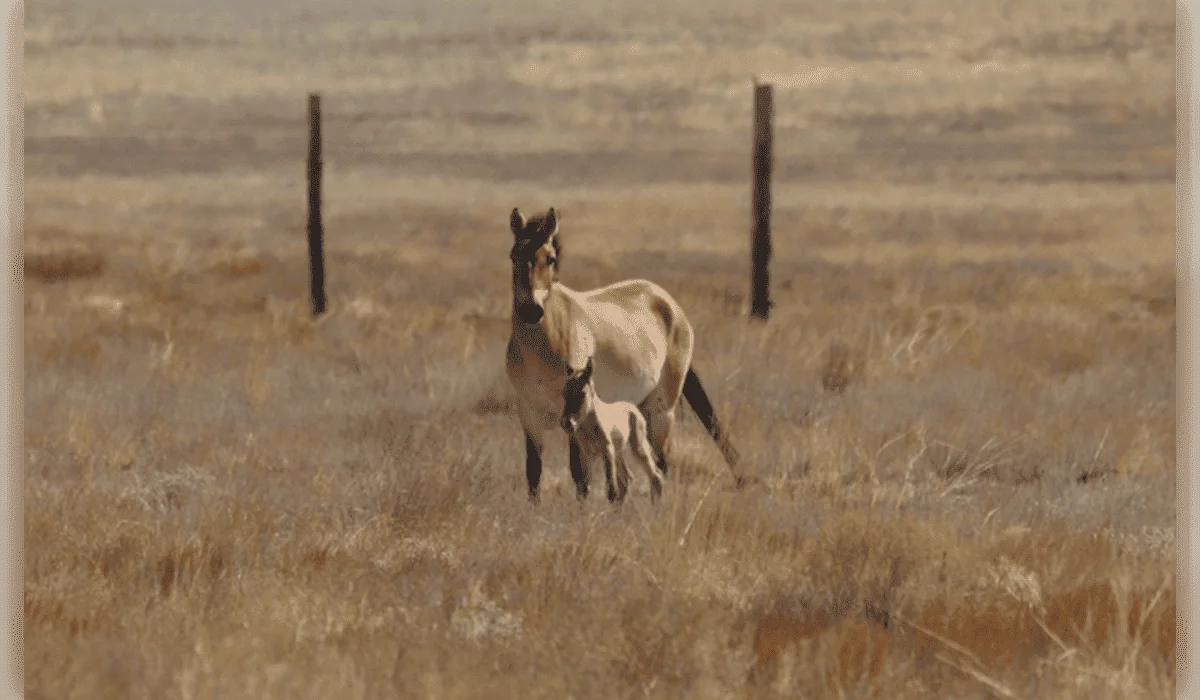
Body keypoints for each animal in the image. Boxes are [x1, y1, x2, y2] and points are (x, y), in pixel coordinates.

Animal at [503, 206, 743, 502]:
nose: (531, 311)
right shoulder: (529, 415)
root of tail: (669, 304)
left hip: (662, 411)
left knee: (660, 464)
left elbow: (579, 475)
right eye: (514, 255)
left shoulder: (574, 415)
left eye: (550, 259)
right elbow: (534, 474)